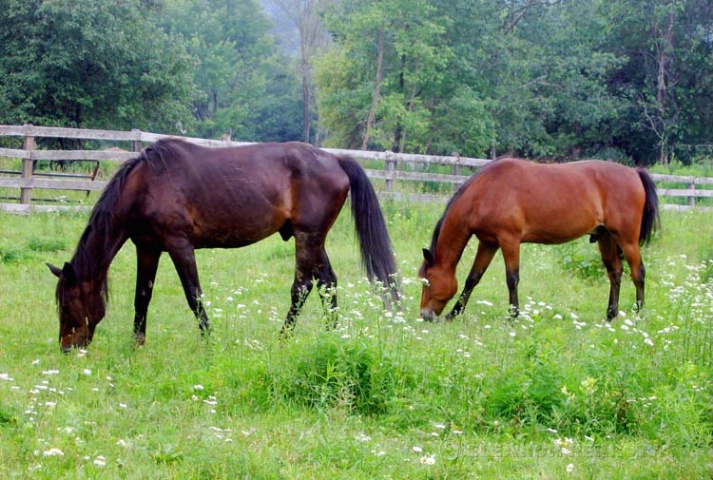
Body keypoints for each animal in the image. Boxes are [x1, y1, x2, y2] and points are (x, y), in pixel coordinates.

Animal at [47, 139, 398, 352]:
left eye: (68, 302)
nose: (67, 347)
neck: (146, 184)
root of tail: (336, 160)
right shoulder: (147, 248)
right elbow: (142, 297)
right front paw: (137, 344)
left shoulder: (179, 245)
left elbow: (194, 296)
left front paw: (208, 341)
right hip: (313, 238)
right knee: (327, 283)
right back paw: (332, 336)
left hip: (307, 236)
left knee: (302, 287)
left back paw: (282, 339)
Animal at [420, 158, 660, 322]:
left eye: (427, 282)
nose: (425, 315)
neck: (486, 190)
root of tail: (635, 172)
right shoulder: (488, 242)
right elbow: (472, 278)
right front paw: (454, 313)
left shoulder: (509, 240)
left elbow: (512, 278)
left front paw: (513, 316)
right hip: (606, 237)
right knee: (615, 273)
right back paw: (610, 315)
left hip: (627, 239)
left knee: (638, 273)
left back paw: (638, 315)